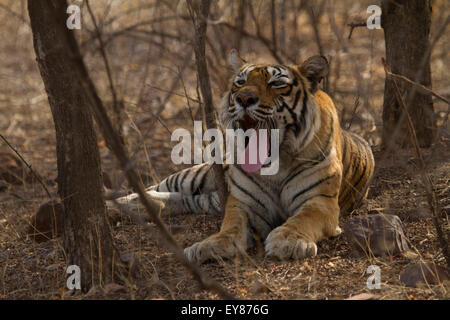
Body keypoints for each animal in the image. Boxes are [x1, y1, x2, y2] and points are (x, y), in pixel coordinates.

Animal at [113, 51, 376, 264]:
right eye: (240, 82)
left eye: (276, 83)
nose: (244, 98)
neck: (276, 165)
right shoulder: (242, 203)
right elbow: (230, 225)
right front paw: (209, 245)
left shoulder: (320, 202)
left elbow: (303, 219)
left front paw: (288, 241)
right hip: (198, 175)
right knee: (159, 187)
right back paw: (118, 203)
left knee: (182, 200)